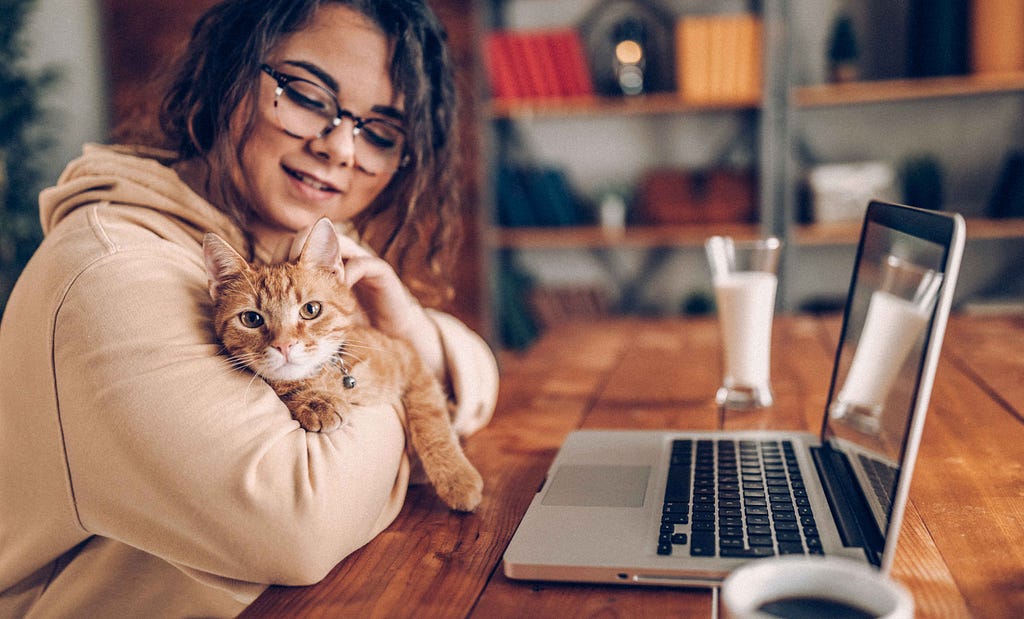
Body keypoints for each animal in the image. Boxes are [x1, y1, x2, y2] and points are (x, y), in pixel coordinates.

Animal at [205, 219, 485, 512]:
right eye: (251, 319)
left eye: (311, 310)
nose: (284, 345)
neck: (332, 378)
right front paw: (317, 402)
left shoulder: (411, 360)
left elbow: (432, 423)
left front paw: (457, 477)